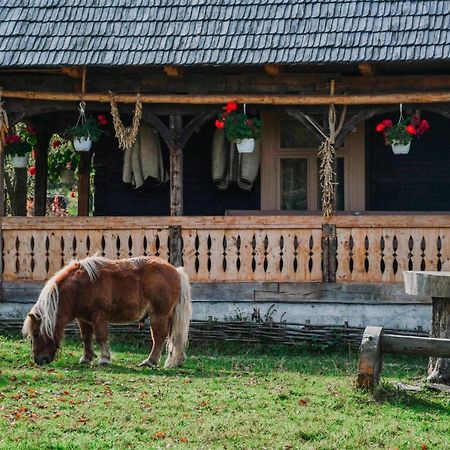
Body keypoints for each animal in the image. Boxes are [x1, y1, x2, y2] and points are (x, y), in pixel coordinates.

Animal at [22, 256, 192, 370]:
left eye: (36, 334)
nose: (38, 360)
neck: (79, 288)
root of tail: (175, 270)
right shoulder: (83, 319)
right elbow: (86, 338)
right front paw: (86, 358)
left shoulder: (99, 317)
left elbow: (101, 337)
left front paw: (104, 359)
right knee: (172, 338)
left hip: (159, 315)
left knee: (159, 337)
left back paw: (150, 361)